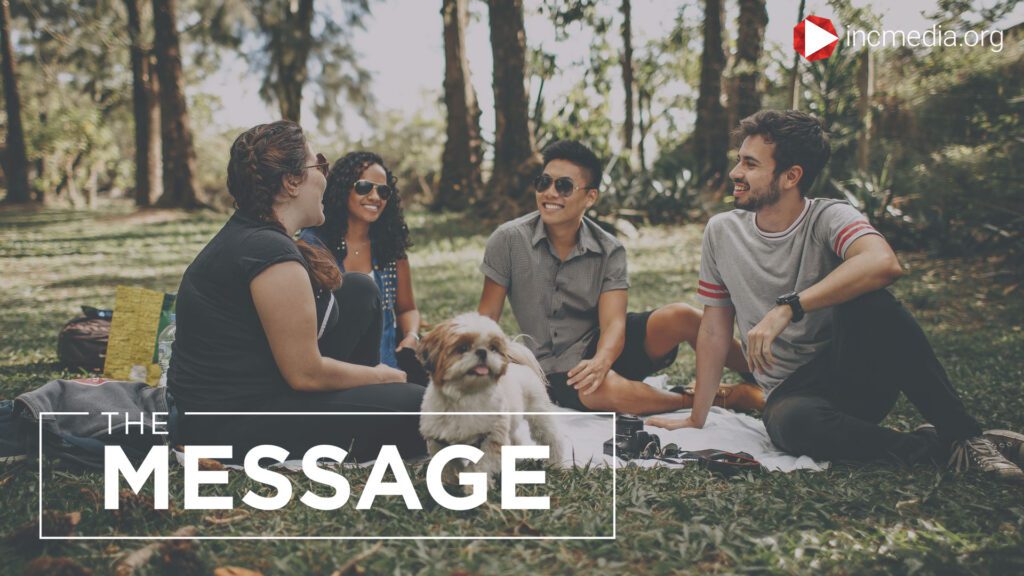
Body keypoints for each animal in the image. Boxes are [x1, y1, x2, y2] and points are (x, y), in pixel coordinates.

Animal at [417, 311, 569, 481]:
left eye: (493, 348)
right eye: (462, 347)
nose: (482, 352)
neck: (466, 397)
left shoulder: (492, 438)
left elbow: (480, 468)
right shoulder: (438, 440)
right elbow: (447, 468)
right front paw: (450, 482)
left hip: (539, 415)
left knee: (552, 438)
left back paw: (555, 465)